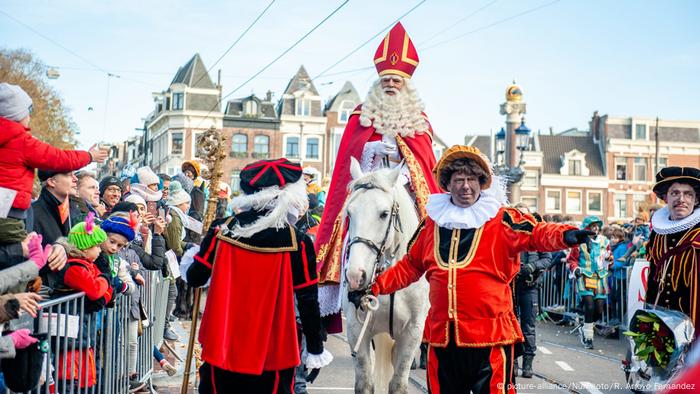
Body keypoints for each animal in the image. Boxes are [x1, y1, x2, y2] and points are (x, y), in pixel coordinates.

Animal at [342, 158, 430, 394]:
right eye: (349, 213)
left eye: (383, 213)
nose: (355, 275)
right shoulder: (356, 329)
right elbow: (365, 383)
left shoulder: (412, 332)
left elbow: (398, 384)